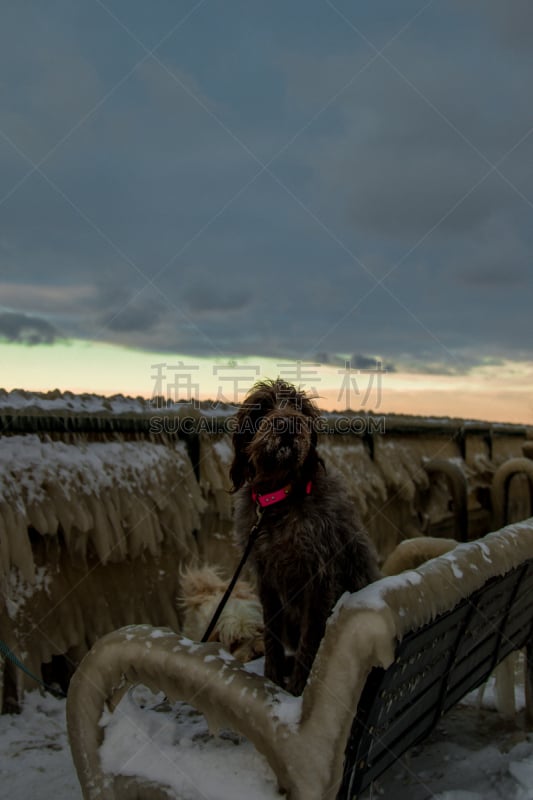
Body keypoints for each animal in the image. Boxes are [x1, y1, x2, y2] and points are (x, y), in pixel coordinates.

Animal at [229, 380, 378, 692]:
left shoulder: (319, 577)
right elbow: (272, 631)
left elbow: (313, 635)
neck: (280, 499)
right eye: (263, 408)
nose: (287, 424)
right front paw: (272, 677)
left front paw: (298, 687)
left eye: (298, 407)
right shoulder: (266, 575)